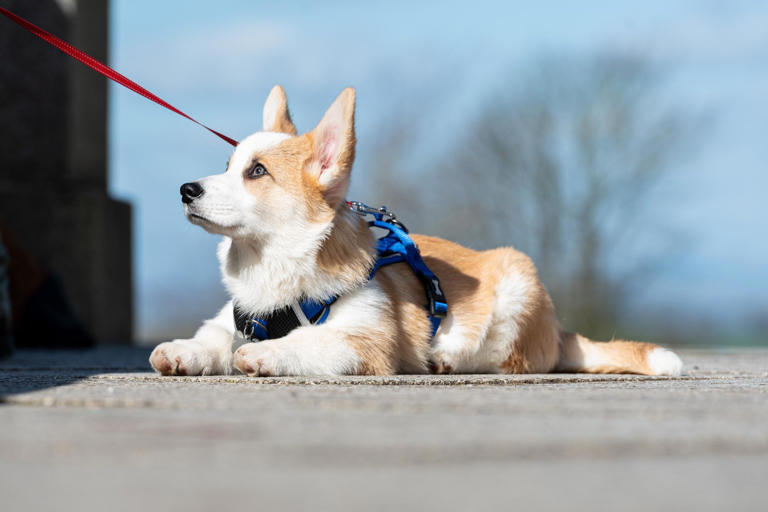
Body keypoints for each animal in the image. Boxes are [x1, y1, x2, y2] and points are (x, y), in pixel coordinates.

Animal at [150, 86, 684, 378]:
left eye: (256, 172)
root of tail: (557, 330)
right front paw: (182, 352)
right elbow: (214, 338)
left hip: (518, 281)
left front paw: (267, 354)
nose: (186, 190)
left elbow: (309, 343)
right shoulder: (234, 320)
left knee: (509, 359)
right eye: (228, 166)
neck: (274, 268)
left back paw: (448, 359)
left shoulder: (366, 341)